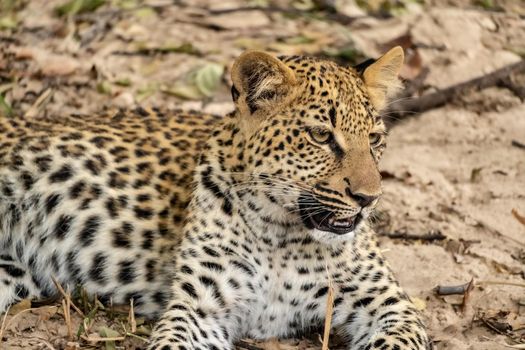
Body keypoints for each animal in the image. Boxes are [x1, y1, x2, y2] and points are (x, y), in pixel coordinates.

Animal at [0, 47, 430, 350]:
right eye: (321, 136)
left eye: (374, 139)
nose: (368, 198)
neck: (282, 234)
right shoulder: (200, 308)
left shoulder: (390, 305)